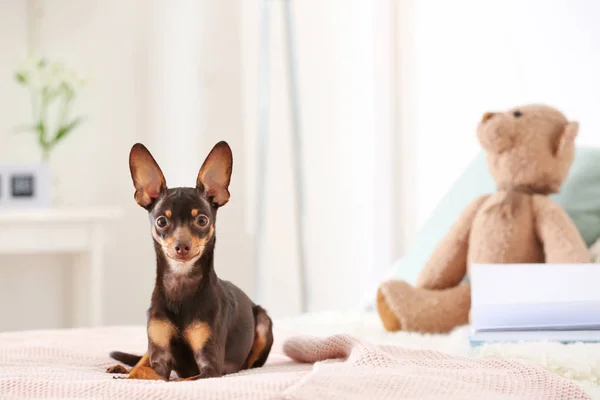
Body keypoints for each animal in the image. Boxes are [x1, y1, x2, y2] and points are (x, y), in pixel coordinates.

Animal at [108, 141, 274, 382]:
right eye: (162, 221)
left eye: (202, 220)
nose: (182, 246)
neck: (180, 283)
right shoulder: (160, 359)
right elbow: (143, 371)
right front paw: (129, 375)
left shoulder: (210, 369)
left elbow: (176, 380)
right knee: (140, 360)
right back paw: (121, 368)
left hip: (263, 322)